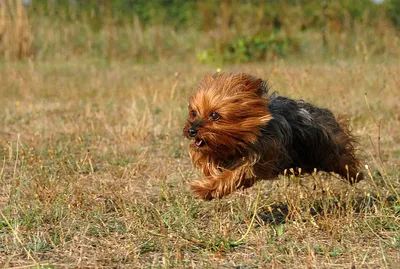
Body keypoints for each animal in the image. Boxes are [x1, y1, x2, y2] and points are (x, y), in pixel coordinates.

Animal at [183, 72, 364, 200]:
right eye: (193, 113)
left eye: (214, 115)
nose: (191, 131)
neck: (238, 140)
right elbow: (207, 160)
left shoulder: (263, 155)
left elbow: (235, 174)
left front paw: (203, 189)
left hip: (327, 146)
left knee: (343, 158)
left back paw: (356, 175)